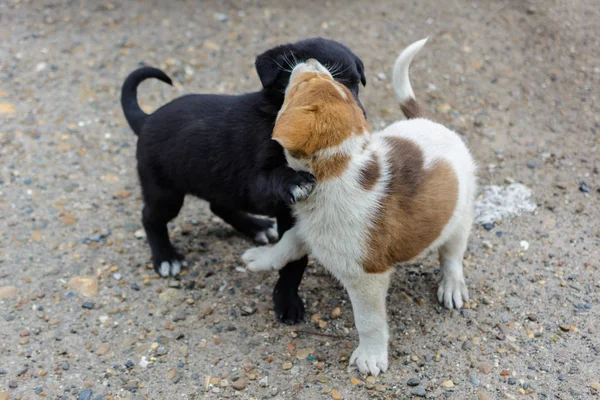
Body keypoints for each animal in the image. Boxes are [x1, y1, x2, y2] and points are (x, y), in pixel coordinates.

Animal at [122, 37, 366, 324]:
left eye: (355, 84)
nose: (356, 121)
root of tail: (146, 119)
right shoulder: (258, 182)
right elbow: (279, 186)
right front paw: (286, 301)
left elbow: (294, 259)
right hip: (165, 191)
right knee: (151, 219)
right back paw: (165, 257)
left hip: (218, 183)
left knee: (218, 206)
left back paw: (257, 227)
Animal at [241, 38, 476, 376]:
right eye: (332, 84)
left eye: (302, 85)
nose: (310, 61)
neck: (336, 167)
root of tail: (433, 123)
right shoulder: (308, 228)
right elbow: (286, 245)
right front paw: (262, 258)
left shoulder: (367, 277)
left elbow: (369, 321)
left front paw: (371, 356)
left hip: (460, 219)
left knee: (452, 256)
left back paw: (452, 286)